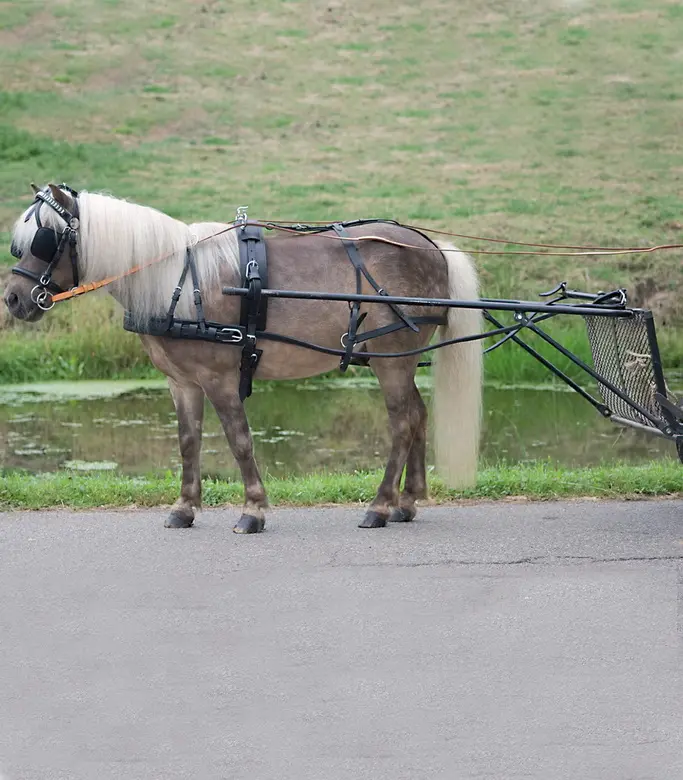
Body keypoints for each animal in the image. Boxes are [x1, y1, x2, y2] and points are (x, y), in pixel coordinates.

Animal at [4, 184, 483, 533]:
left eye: (44, 240)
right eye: (20, 245)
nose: (12, 299)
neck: (179, 282)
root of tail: (430, 245)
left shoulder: (219, 378)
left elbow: (239, 440)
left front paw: (253, 510)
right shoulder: (182, 382)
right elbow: (188, 442)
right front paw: (184, 508)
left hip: (391, 359)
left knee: (402, 423)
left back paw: (380, 505)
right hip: (400, 359)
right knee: (418, 416)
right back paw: (407, 501)